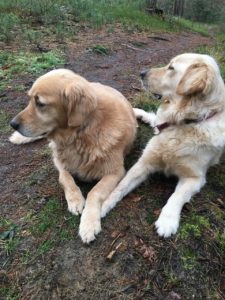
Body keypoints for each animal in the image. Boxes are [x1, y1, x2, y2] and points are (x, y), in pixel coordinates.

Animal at [9, 69, 136, 244]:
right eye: (29, 99)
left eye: (40, 103)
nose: (12, 124)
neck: (80, 133)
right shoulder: (61, 162)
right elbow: (65, 178)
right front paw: (75, 200)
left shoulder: (115, 172)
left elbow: (94, 192)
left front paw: (88, 224)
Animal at [101, 53, 225, 237]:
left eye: (171, 68)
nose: (142, 73)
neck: (182, 122)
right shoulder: (144, 163)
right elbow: (120, 186)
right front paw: (102, 206)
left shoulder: (195, 177)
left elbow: (177, 196)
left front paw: (167, 222)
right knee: (154, 119)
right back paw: (137, 112)